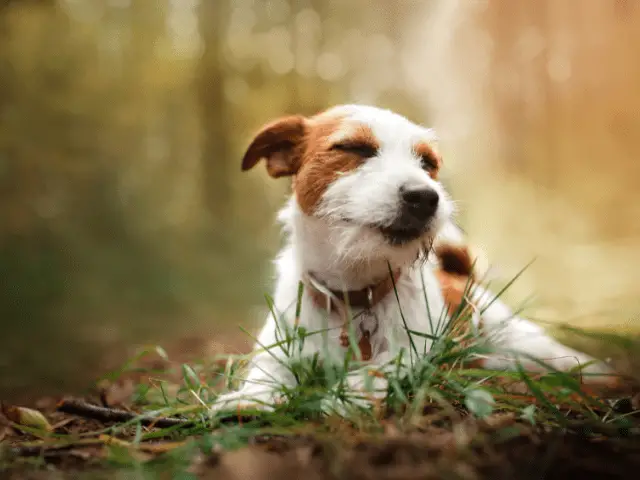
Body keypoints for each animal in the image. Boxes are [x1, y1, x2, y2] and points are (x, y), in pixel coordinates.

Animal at [211, 105, 620, 412]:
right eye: (355, 148)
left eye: (427, 163)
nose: (426, 197)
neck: (353, 296)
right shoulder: (276, 350)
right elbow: (265, 373)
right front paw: (251, 398)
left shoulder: (416, 354)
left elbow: (382, 368)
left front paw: (348, 392)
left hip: (524, 343)